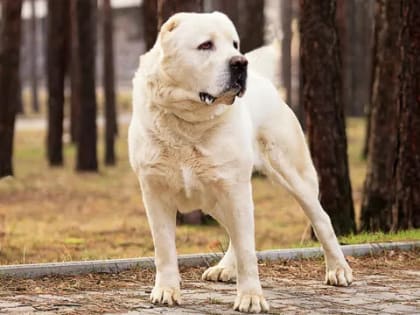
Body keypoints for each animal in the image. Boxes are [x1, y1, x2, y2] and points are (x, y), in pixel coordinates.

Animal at [128, 11, 352, 314]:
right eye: (206, 45)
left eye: (234, 44)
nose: (240, 62)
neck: (189, 123)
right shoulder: (155, 191)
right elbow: (164, 248)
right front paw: (166, 290)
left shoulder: (235, 188)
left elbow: (247, 250)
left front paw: (251, 298)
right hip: (215, 197)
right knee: (234, 232)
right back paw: (224, 268)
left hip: (291, 175)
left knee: (321, 219)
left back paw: (338, 270)